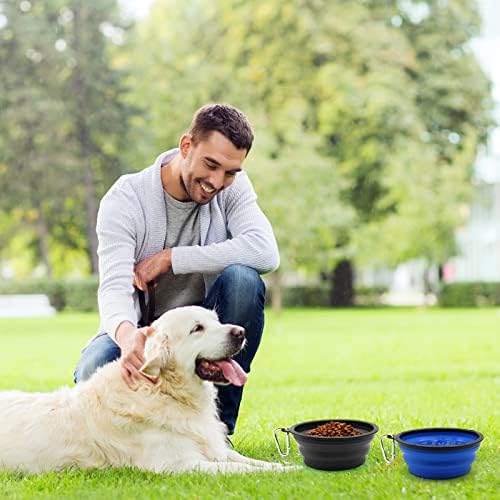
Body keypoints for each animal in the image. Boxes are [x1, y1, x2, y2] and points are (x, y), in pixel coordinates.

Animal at [0, 306, 292, 474]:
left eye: (217, 321)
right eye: (197, 328)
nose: (240, 332)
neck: (165, 391)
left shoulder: (213, 449)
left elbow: (248, 461)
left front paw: (285, 465)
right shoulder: (178, 465)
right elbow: (240, 469)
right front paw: (289, 473)